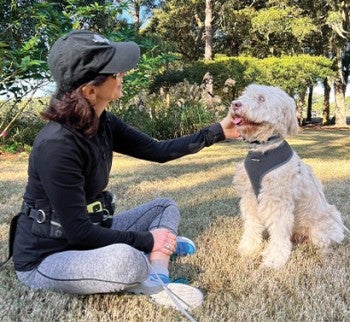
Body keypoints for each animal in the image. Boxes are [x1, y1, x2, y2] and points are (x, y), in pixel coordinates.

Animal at [231, 83, 346, 270]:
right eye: (244, 95)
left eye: (261, 98)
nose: (235, 104)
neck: (263, 149)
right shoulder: (249, 198)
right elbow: (251, 225)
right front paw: (248, 248)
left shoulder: (277, 200)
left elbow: (278, 232)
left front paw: (274, 259)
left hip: (321, 230)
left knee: (326, 243)